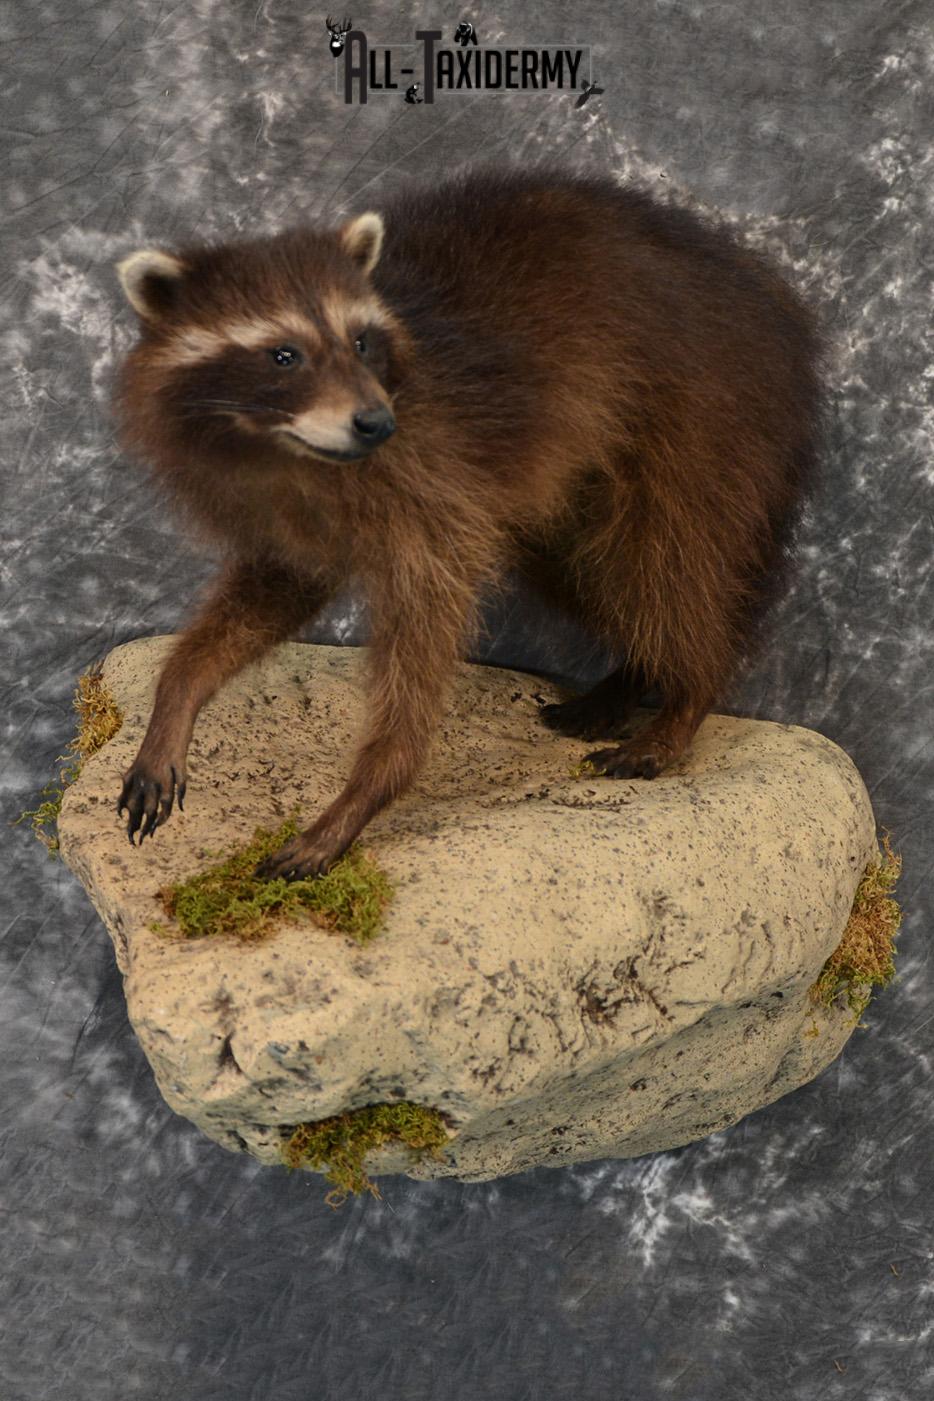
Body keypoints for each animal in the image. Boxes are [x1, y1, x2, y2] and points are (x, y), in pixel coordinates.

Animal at [113, 164, 822, 882]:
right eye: (283, 355)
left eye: (361, 340)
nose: (376, 422)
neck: (288, 453)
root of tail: (772, 302)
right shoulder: (292, 514)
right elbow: (275, 591)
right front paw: (178, 693)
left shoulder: (431, 486)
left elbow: (426, 633)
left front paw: (370, 786)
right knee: (592, 571)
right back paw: (638, 674)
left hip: (701, 414)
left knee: (672, 564)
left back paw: (689, 692)